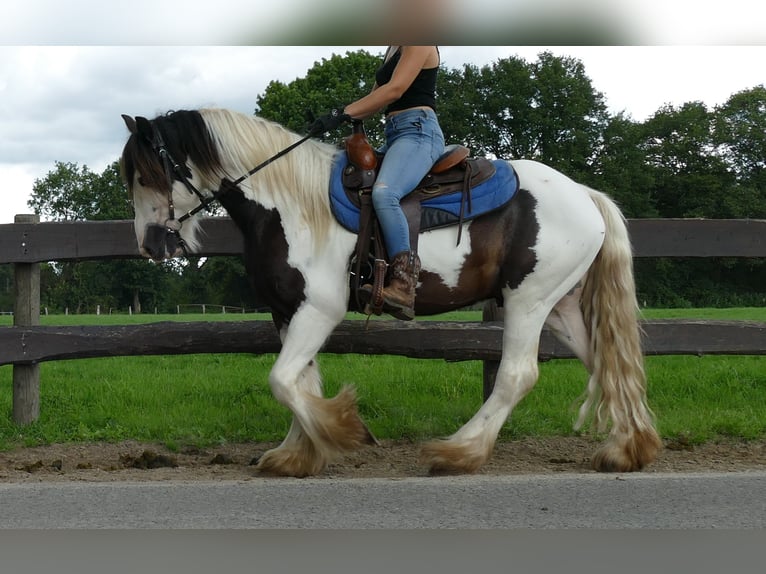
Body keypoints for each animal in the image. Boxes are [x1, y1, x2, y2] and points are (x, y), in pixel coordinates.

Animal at [118, 107, 660, 476]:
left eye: (147, 174)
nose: (149, 244)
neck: (291, 206)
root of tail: (585, 195)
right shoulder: (288, 312)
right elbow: (299, 381)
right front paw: (297, 454)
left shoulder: (319, 309)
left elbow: (283, 381)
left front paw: (343, 430)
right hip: (559, 305)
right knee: (606, 362)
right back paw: (628, 448)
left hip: (528, 301)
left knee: (517, 375)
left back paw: (459, 451)